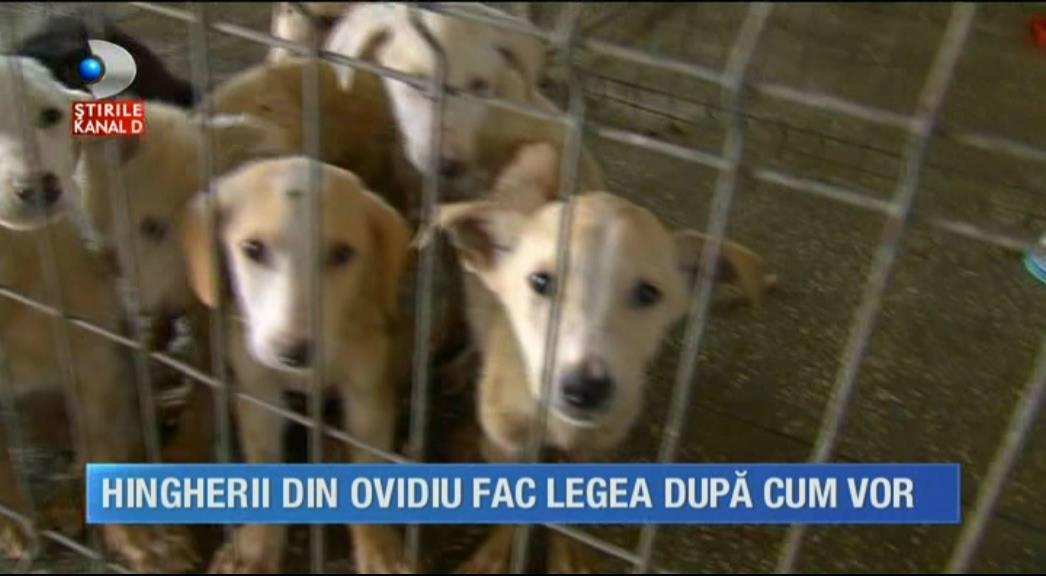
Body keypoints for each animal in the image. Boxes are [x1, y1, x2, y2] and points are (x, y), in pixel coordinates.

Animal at [0, 56, 197, 572]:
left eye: (50, 115)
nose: (38, 186)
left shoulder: (95, 358)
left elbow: (104, 444)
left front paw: (142, 539)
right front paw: (12, 522)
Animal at [181, 156, 413, 573]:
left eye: (342, 254)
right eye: (253, 248)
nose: (293, 352)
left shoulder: (368, 394)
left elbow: (368, 465)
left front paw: (378, 549)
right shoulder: (258, 392)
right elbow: (263, 461)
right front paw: (257, 549)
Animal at [433, 142, 773, 572]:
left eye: (647, 293)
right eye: (540, 281)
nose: (584, 389)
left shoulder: (597, 447)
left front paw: (569, 555)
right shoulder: (505, 443)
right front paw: (492, 557)